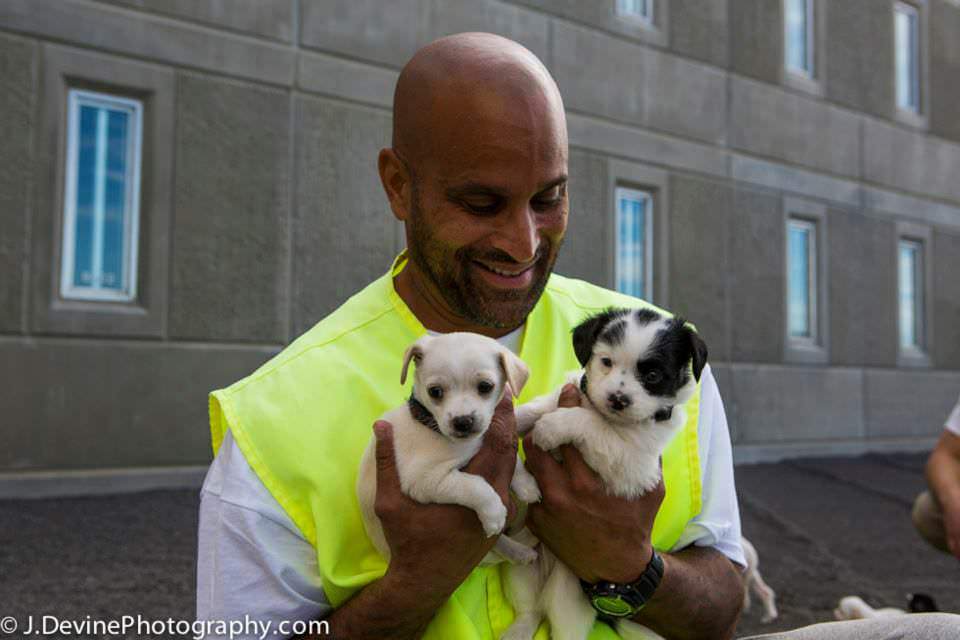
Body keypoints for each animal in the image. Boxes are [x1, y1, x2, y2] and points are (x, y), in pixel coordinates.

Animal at [356, 332, 544, 568]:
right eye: (435, 392)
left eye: (485, 386)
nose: (462, 421)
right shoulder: (427, 479)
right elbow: (474, 485)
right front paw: (494, 512)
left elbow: (515, 462)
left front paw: (527, 485)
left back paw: (521, 552)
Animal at [506, 308, 708, 640]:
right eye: (606, 362)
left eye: (653, 376)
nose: (617, 399)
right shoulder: (557, 397)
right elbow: (532, 412)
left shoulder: (633, 466)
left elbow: (592, 424)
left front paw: (553, 428)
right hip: (521, 571)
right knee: (529, 611)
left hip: (567, 599)